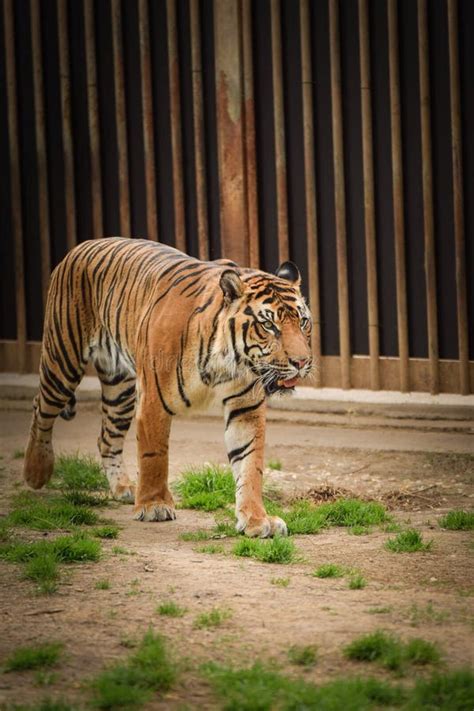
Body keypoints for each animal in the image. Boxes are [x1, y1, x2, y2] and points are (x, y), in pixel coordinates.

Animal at [25, 236, 314, 536]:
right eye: (268, 325)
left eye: (303, 321)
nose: (302, 361)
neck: (227, 361)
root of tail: (82, 245)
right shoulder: (153, 401)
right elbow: (154, 455)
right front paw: (154, 506)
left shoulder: (245, 409)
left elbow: (250, 464)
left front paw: (256, 519)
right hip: (62, 361)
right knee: (41, 407)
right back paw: (36, 472)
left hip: (120, 390)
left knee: (106, 438)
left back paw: (122, 487)